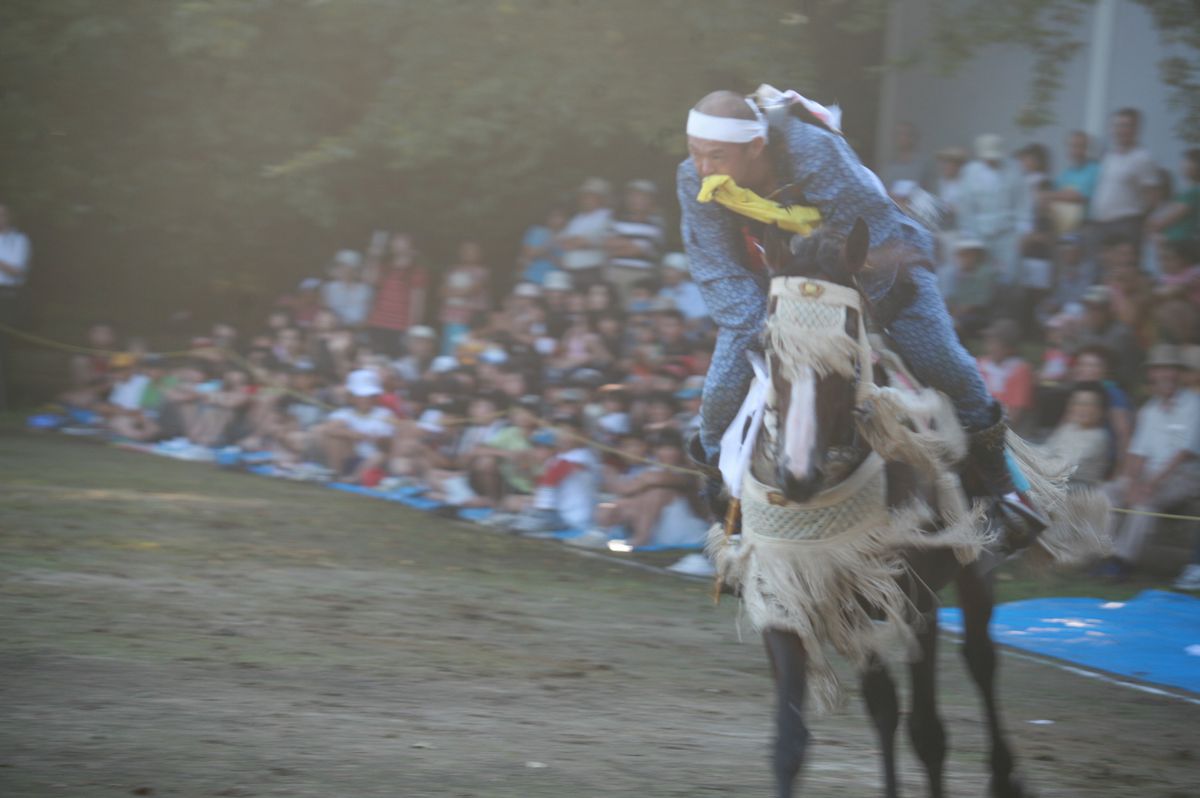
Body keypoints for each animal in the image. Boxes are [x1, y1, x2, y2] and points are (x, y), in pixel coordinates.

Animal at [710, 219, 1032, 796]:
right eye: (770, 349)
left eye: (849, 355)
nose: (797, 474)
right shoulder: (782, 595)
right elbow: (790, 742)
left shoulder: (916, 597)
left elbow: (929, 733)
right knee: (882, 704)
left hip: (973, 567)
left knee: (979, 660)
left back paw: (1005, 775)